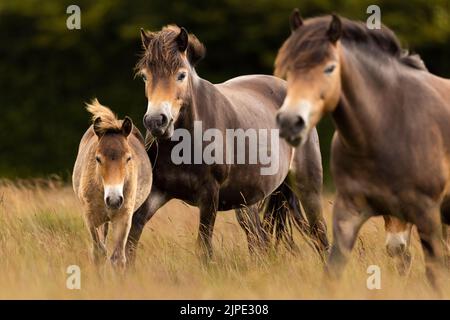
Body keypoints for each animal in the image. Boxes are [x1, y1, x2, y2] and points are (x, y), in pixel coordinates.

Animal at [73, 99, 152, 268]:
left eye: (129, 158)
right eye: (97, 158)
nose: (114, 199)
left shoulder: (124, 217)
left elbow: (118, 257)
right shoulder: (90, 217)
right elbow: (98, 252)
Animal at [126, 24, 330, 260]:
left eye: (181, 75)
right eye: (145, 77)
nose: (156, 121)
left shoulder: (209, 196)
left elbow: (204, 248)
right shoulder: (157, 192)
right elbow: (131, 238)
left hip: (308, 184)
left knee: (319, 233)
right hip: (247, 200)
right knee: (258, 237)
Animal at [274, 11, 450, 288]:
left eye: (330, 68)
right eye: (289, 68)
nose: (290, 121)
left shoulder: (426, 214)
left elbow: (435, 273)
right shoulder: (349, 212)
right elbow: (333, 270)